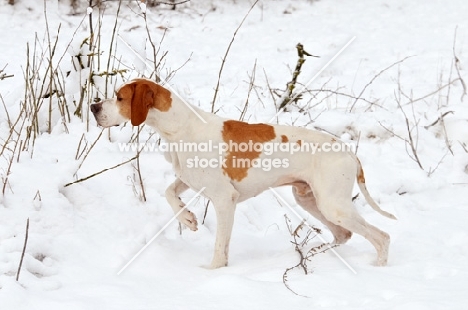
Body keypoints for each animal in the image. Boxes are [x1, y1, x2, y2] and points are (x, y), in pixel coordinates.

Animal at [90, 78, 394, 268]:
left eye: (119, 97)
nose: (93, 107)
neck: (180, 127)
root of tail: (349, 151)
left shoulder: (225, 199)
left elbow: (219, 246)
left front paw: (212, 271)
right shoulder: (191, 180)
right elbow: (169, 193)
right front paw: (187, 218)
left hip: (333, 206)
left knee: (381, 237)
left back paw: (377, 267)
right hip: (309, 199)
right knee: (344, 235)